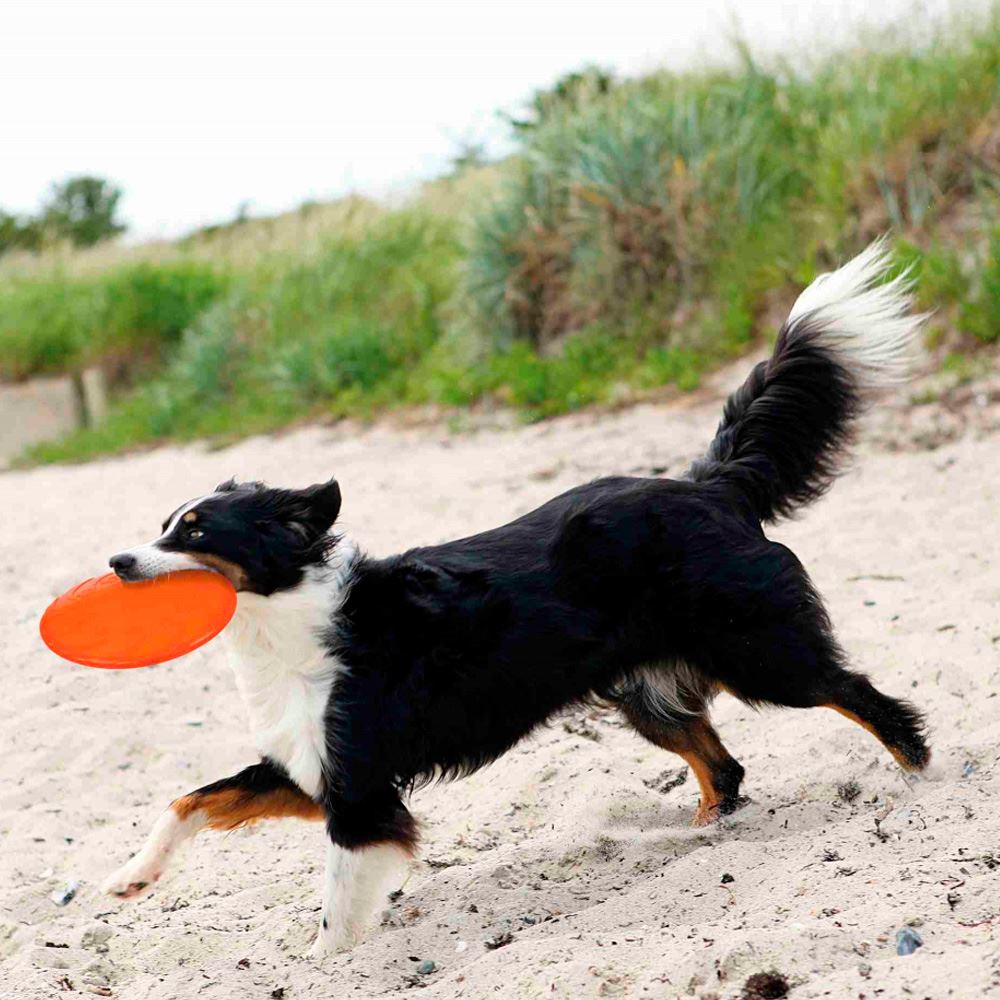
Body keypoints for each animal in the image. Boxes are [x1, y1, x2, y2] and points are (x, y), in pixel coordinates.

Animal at [99, 240, 928, 952]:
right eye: (165, 524)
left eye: (195, 533)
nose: (116, 560)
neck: (286, 621)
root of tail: (709, 486)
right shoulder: (311, 769)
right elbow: (189, 800)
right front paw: (130, 877)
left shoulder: (361, 791)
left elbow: (334, 908)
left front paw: (323, 962)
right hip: (646, 692)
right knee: (724, 768)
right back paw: (697, 836)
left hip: (758, 652)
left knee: (862, 696)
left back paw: (920, 775)